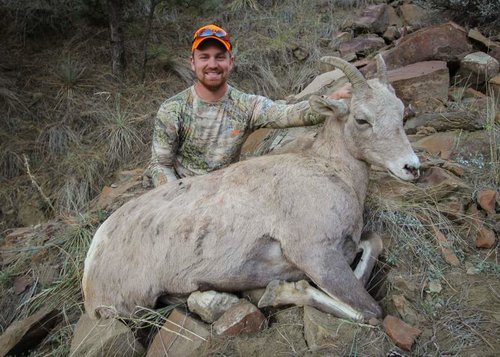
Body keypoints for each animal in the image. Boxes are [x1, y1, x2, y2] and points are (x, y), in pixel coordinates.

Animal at [84, 55, 420, 320]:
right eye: (362, 119)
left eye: (400, 110)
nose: (411, 167)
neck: (330, 171)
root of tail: (92, 257)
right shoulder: (316, 255)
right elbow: (371, 311)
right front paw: (280, 293)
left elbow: (373, 243)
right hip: (131, 309)